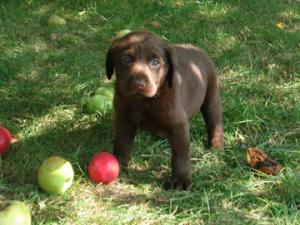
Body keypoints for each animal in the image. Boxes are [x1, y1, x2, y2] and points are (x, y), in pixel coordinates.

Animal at [105, 31, 223, 190]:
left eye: (155, 62)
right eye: (126, 59)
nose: (138, 84)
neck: (143, 101)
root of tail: (196, 49)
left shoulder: (178, 125)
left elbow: (180, 154)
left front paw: (181, 179)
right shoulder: (124, 120)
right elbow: (122, 143)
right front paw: (119, 163)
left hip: (211, 95)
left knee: (214, 121)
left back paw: (216, 145)